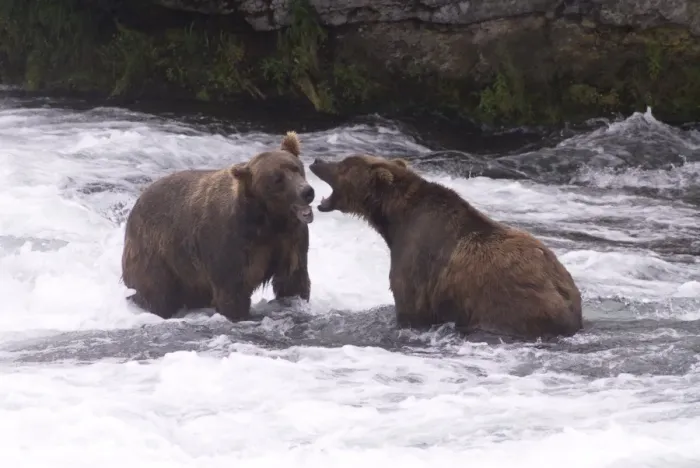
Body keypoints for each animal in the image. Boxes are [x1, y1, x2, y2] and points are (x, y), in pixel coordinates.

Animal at [121, 131, 315, 322]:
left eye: (296, 168)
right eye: (277, 179)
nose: (307, 191)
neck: (269, 220)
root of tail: (136, 204)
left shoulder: (291, 240)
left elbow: (293, 281)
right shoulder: (231, 241)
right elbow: (232, 290)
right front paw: (239, 315)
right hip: (156, 253)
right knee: (156, 293)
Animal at [309, 154, 583, 340]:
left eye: (344, 164)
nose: (317, 160)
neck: (394, 220)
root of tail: (565, 294)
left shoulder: (416, 260)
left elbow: (409, 303)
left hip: (513, 306)